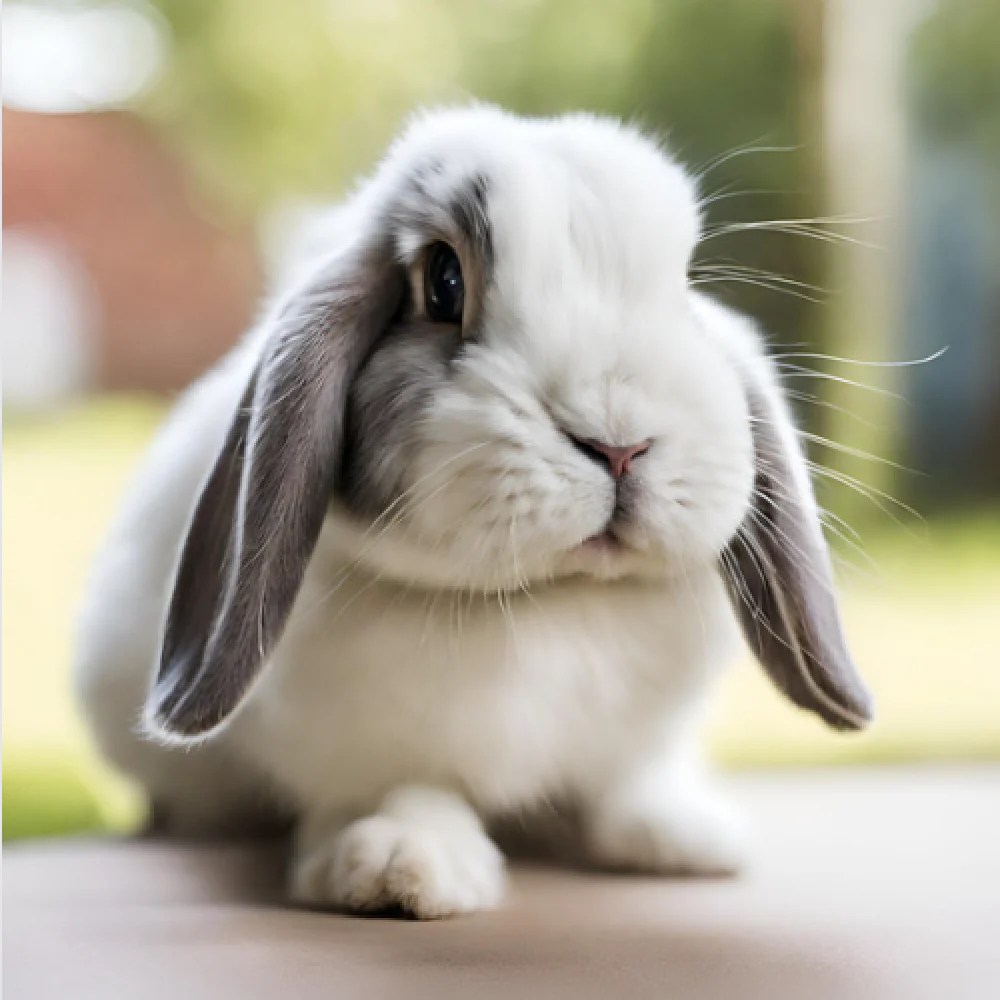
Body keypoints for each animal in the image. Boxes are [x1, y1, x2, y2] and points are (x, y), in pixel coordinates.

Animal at [75, 105, 873, 919]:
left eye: (683, 286)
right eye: (443, 282)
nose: (619, 444)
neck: (544, 603)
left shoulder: (635, 741)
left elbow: (625, 778)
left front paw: (683, 840)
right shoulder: (364, 743)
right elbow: (405, 786)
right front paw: (399, 867)